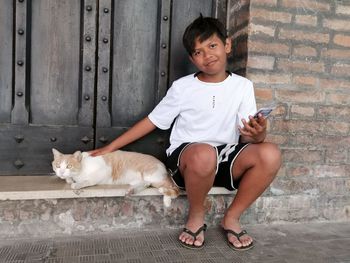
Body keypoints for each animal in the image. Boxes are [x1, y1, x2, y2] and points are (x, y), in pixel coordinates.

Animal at [51, 148, 180, 208]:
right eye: (57, 166)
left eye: (69, 166)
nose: (61, 172)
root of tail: (162, 164)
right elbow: (69, 180)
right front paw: (69, 180)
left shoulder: (102, 172)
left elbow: (87, 181)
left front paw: (76, 184)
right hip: (146, 180)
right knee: (146, 184)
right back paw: (132, 190)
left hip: (152, 176)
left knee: (175, 189)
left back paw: (166, 198)